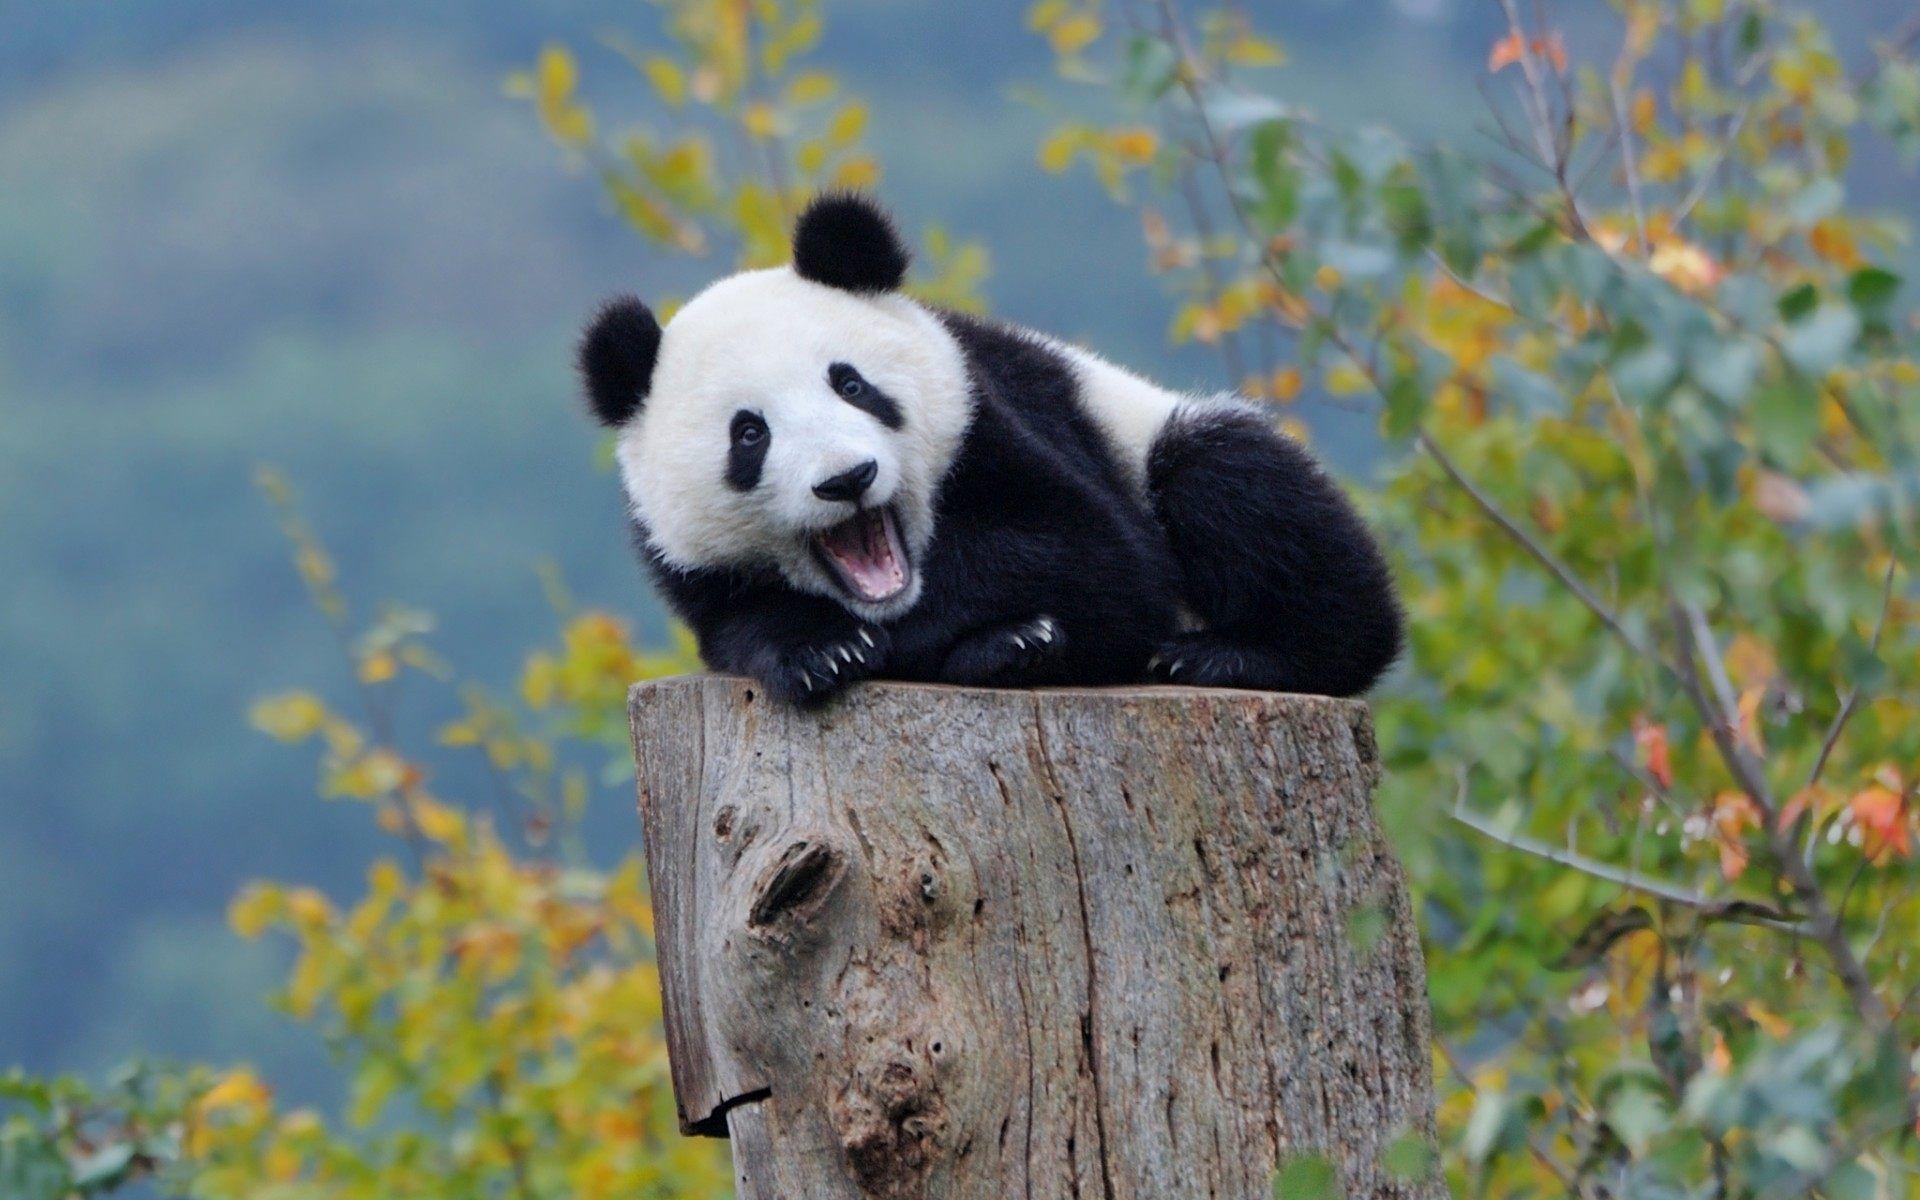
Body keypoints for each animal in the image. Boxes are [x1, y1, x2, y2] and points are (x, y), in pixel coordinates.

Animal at [579, 193, 1401, 707]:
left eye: (851, 384)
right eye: (750, 433)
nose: (847, 479)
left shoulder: (999, 418)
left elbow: (1095, 557)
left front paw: (1002, 635)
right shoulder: (687, 564)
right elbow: (740, 626)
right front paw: (822, 653)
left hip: (1152, 435)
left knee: (1235, 485)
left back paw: (1226, 655)